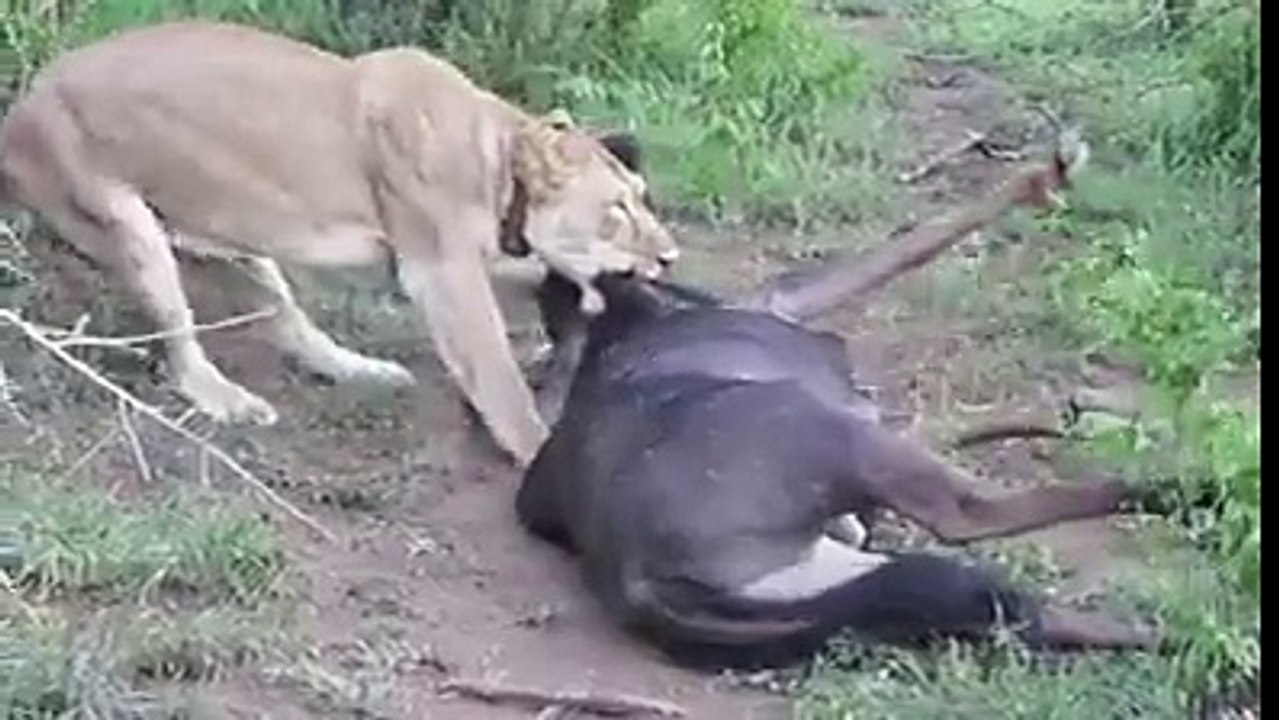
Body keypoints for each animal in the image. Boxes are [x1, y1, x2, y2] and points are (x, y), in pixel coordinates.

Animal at [0, 21, 680, 466]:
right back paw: (229, 399)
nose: (670, 256)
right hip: (122, 220)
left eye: (642, 196)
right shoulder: (442, 270)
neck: (500, 163)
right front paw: (537, 451)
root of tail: (19, 107)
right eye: (618, 209)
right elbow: (497, 378)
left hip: (234, 236)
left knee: (286, 321)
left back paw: (365, 371)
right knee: (180, 345)